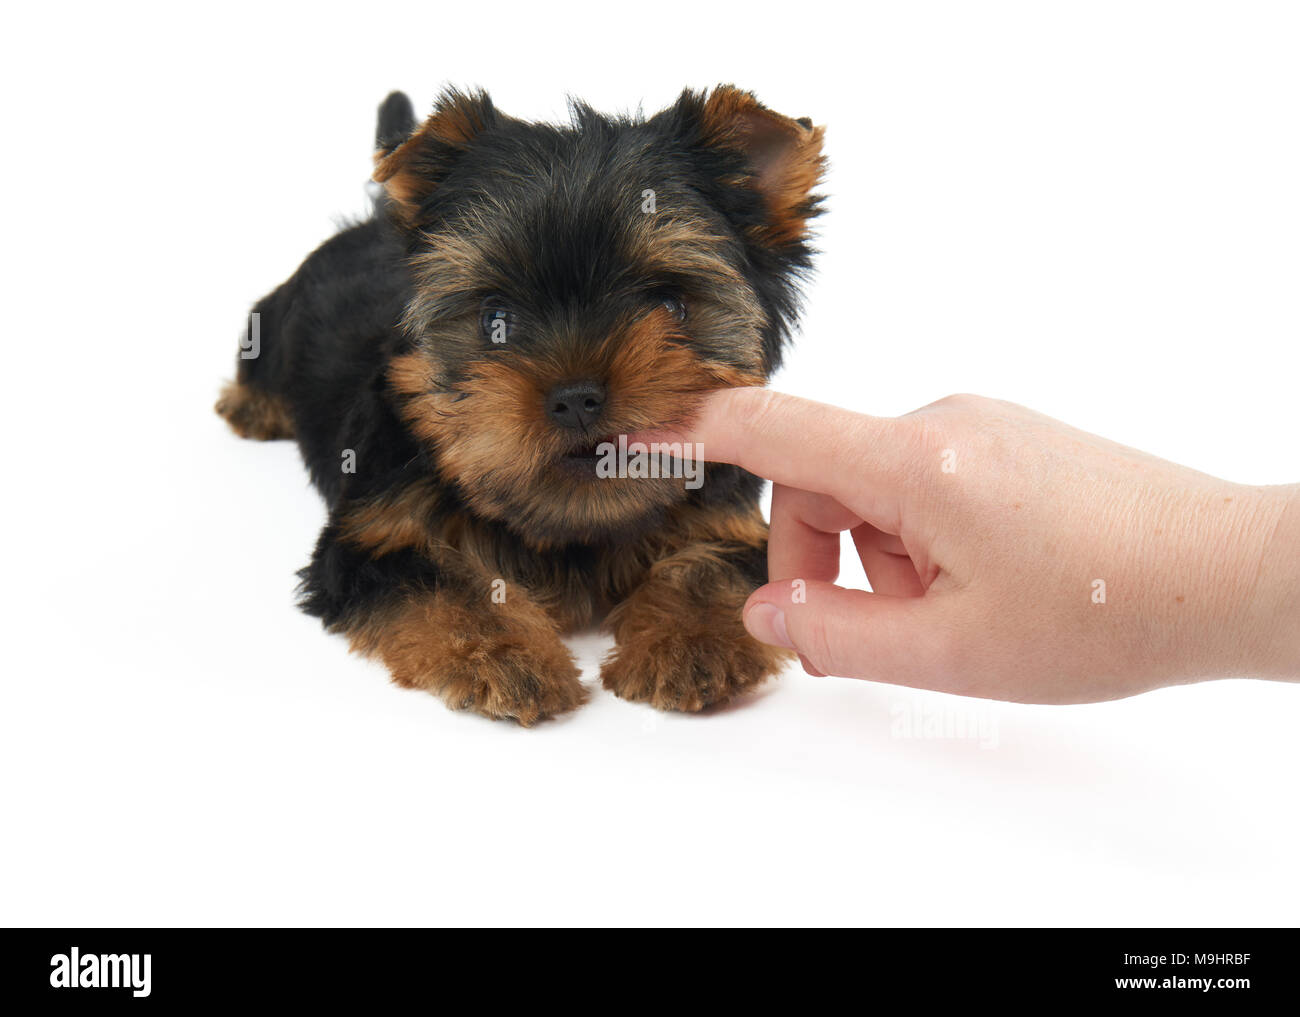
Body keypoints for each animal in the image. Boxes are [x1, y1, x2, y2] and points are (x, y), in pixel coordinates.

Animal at [213, 85, 821, 723]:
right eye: (495, 320)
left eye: (671, 306)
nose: (576, 398)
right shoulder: (373, 535)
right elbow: (443, 581)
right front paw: (507, 657)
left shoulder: (731, 520)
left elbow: (712, 566)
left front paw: (690, 646)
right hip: (277, 322)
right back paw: (251, 408)